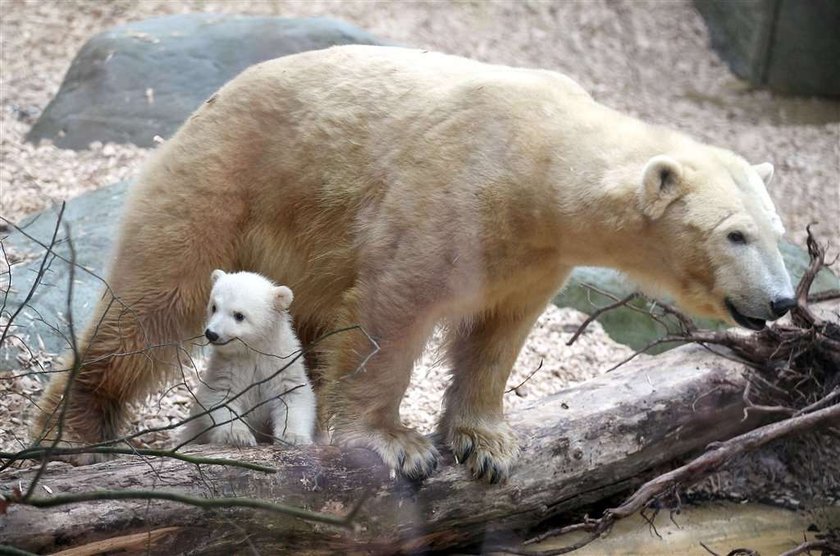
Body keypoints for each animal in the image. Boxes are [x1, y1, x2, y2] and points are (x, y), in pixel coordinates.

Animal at [31, 46, 796, 482]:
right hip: (228, 179)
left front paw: (485, 446)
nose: (782, 301)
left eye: (776, 230)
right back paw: (73, 431)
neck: (538, 161)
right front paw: (395, 445)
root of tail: (203, 108)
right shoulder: (451, 195)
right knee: (153, 302)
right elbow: (389, 311)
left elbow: (496, 335)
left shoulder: (530, 255)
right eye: (735, 235)